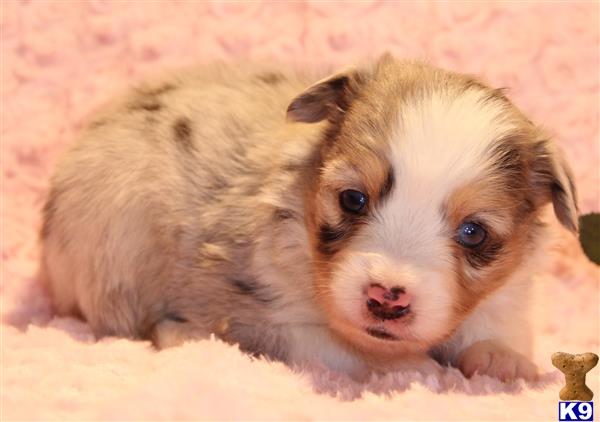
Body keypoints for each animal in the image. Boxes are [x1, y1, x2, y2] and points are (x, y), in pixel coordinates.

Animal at [41, 54, 576, 380]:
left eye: (473, 232)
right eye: (353, 199)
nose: (386, 298)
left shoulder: (508, 295)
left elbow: (497, 327)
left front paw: (502, 359)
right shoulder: (261, 314)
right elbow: (342, 346)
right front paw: (409, 366)